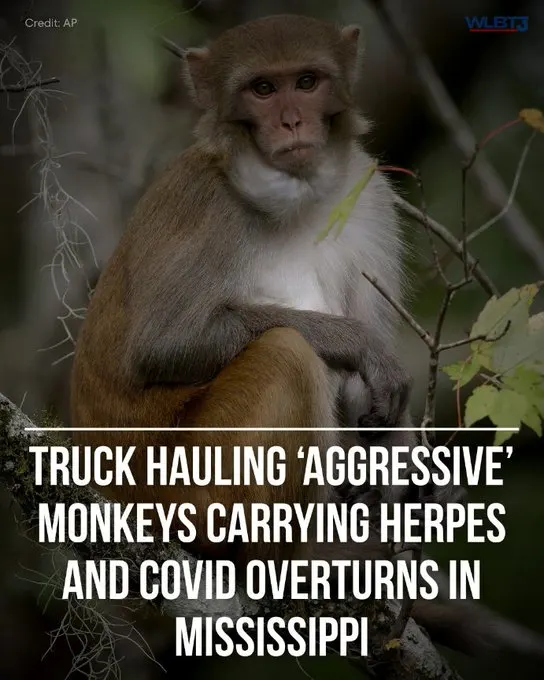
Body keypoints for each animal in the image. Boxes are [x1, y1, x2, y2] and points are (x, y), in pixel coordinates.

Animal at [70, 15, 544, 658]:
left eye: (306, 81)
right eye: (263, 90)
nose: (292, 121)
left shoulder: (369, 199)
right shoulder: (205, 202)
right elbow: (162, 346)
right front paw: (356, 344)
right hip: (179, 494)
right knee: (285, 354)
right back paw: (290, 561)